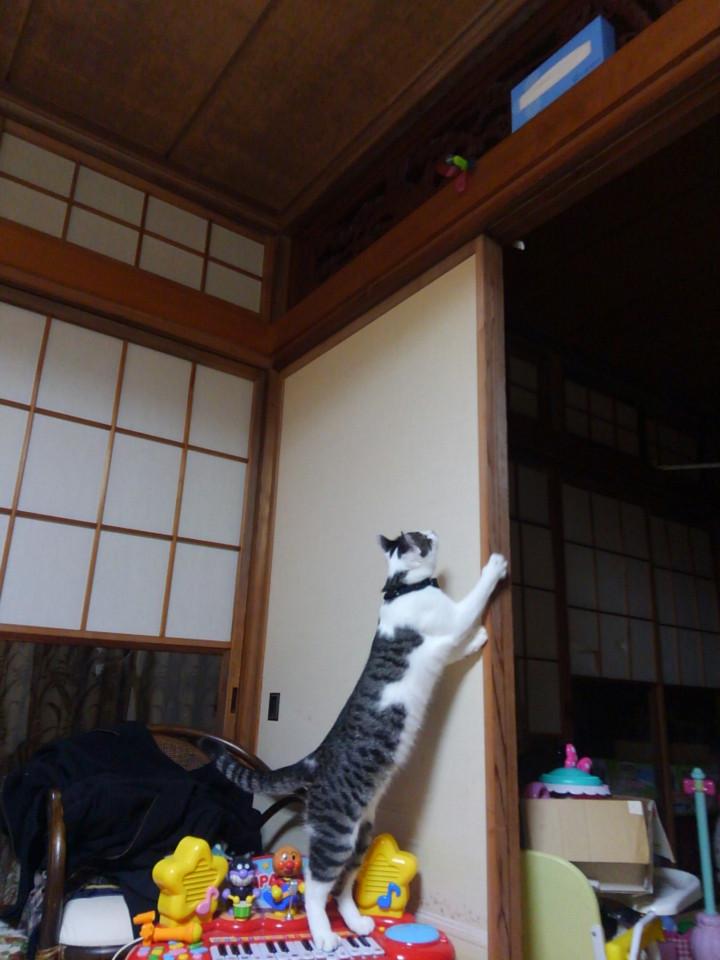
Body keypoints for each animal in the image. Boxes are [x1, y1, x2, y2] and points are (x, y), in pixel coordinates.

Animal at [213, 530, 508, 951]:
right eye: (421, 536)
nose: (434, 532)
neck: (402, 588)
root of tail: (314, 757)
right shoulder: (448, 617)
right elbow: (471, 603)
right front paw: (495, 568)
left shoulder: (443, 640)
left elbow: (455, 647)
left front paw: (477, 639)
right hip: (336, 834)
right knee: (315, 885)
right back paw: (323, 936)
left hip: (362, 834)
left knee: (343, 886)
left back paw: (355, 922)